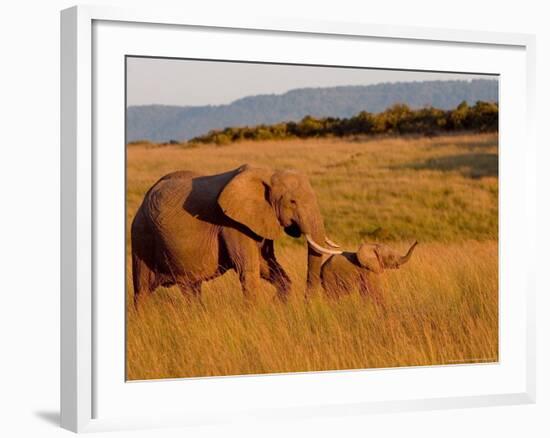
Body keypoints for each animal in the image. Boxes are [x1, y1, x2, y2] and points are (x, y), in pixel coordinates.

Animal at [132, 164, 342, 308]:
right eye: (292, 201)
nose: (308, 304)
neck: (268, 174)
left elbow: (267, 265)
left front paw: (277, 306)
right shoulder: (232, 224)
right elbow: (249, 269)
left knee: (191, 288)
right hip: (142, 236)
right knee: (142, 290)